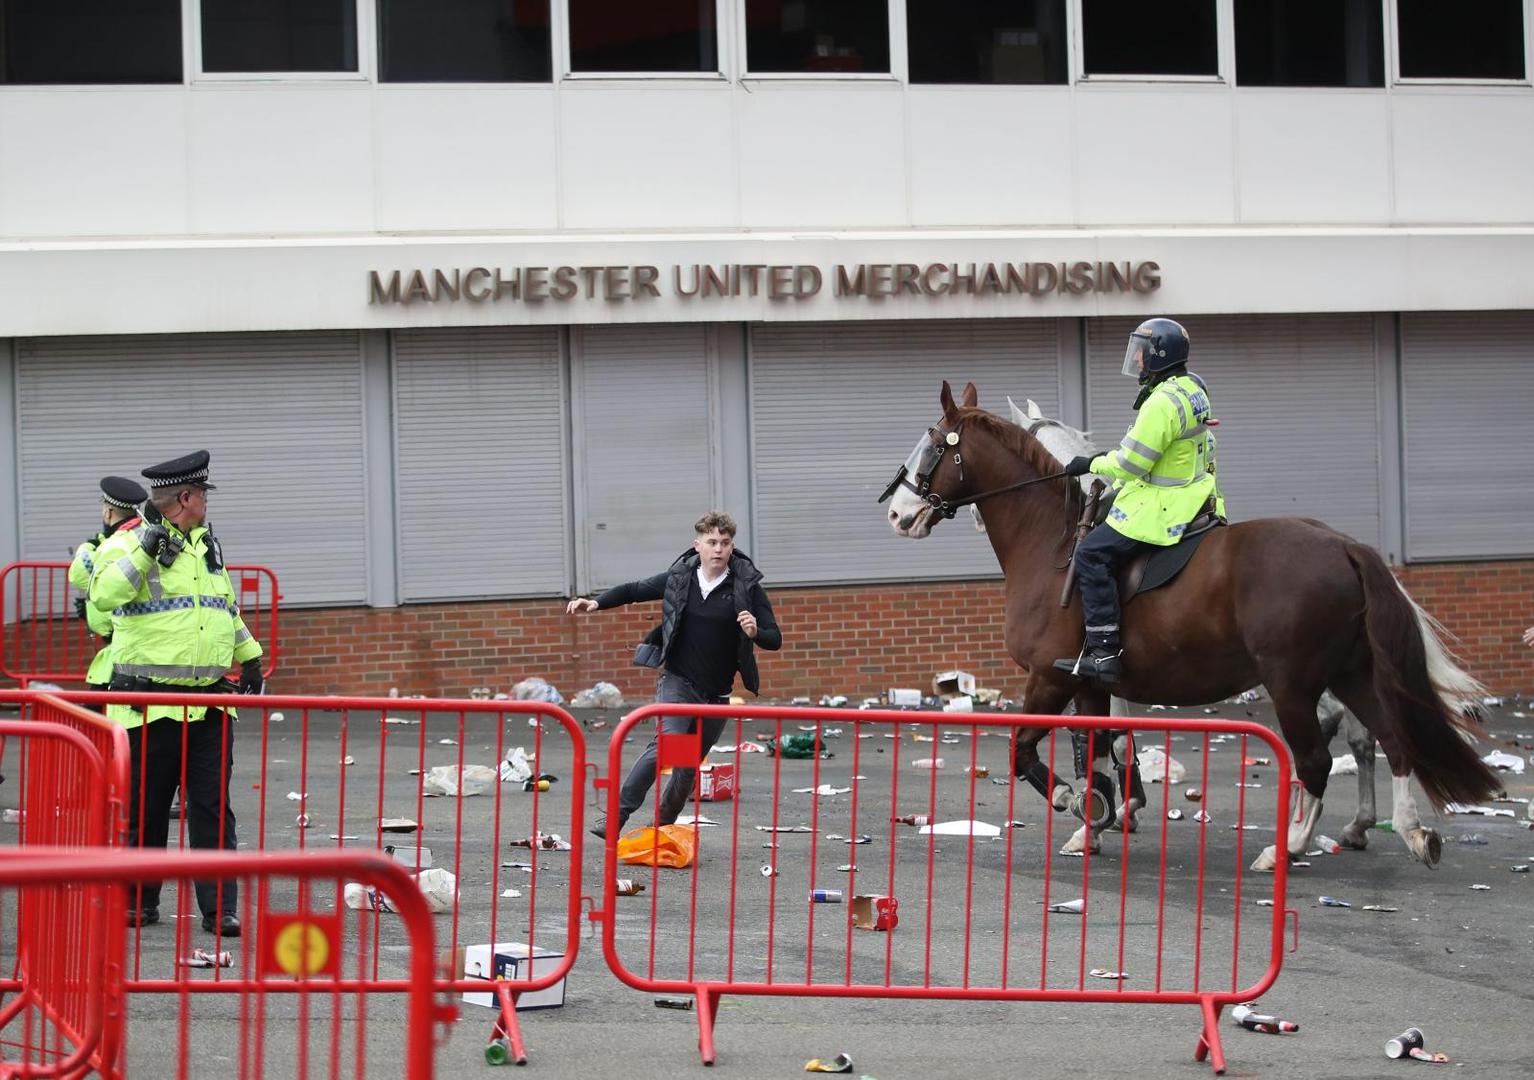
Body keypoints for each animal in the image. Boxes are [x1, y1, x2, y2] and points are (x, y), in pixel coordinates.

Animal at [889, 380, 1497, 871]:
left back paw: (1291, 844)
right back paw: (1405, 831)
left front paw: (1082, 802)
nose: (897, 513)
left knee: (1321, 756)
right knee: (1389, 738)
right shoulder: (1090, 682)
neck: (1053, 542)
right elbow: (1100, 745)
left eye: (933, 445)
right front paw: (1099, 818)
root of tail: (1345, 545)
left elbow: (1028, 751)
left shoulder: (1051, 678)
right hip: (1352, 673)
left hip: (1293, 684)